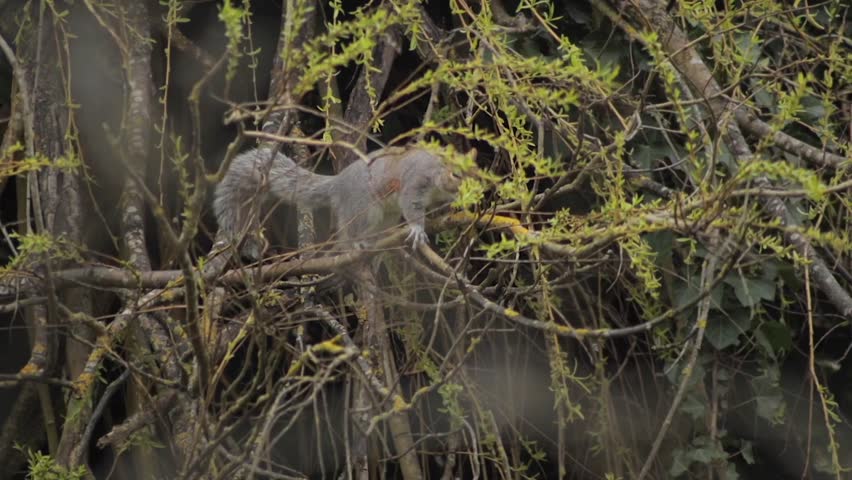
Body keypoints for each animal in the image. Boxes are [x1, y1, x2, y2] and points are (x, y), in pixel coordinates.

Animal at [213, 145, 463, 258]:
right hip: (364, 209)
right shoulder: (416, 181)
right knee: (347, 232)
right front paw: (418, 228)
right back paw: (356, 245)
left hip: (386, 215)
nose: (466, 192)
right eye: (456, 174)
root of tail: (338, 183)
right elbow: (411, 204)